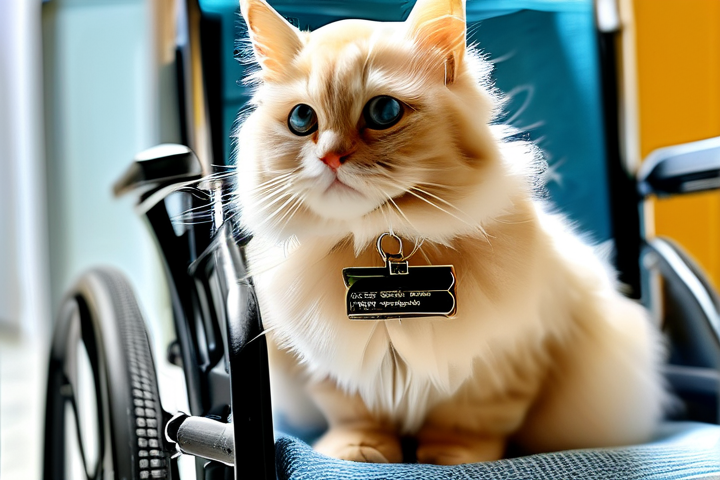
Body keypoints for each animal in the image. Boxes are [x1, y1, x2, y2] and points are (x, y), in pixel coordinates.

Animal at [235, 0, 670, 465]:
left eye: (383, 113)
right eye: (302, 119)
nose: (330, 157)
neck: (377, 238)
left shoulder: (505, 363)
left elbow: (466, 423)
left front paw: (450, 458)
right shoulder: (327, 367)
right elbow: (356, 414)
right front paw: (357, 450)